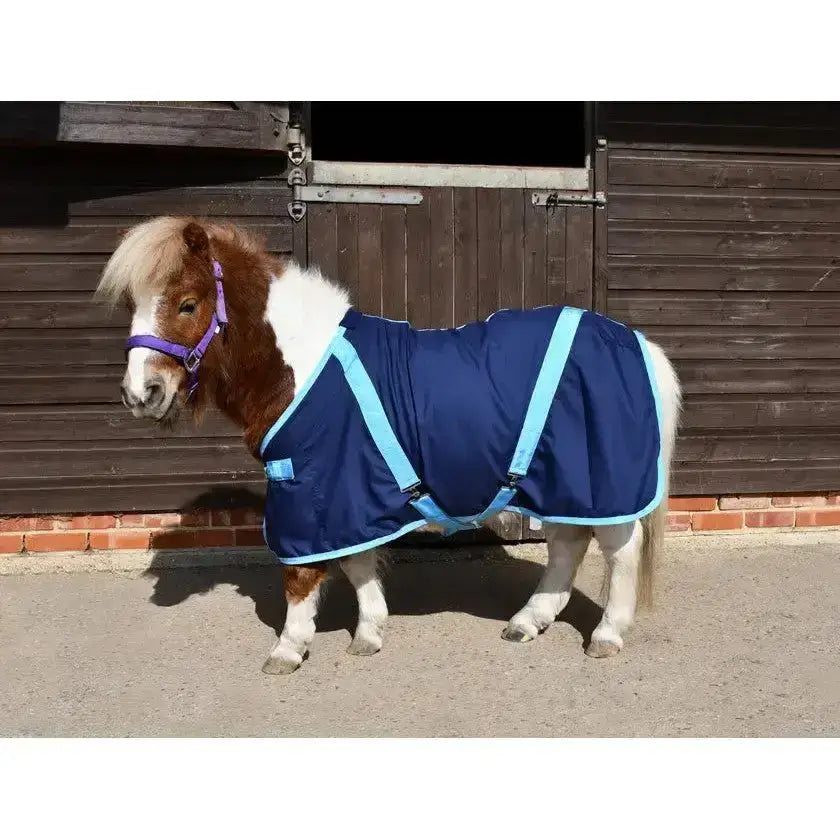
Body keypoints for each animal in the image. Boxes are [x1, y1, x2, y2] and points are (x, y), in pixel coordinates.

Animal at [97, 216, 681, 675]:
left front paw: (289, 647)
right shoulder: (345, 494)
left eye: (188, 304)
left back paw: (606, 635)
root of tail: (638, 344)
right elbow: (357, 563)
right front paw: (369, 633)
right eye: (132, 305)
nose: (141, 393)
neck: (302, 364)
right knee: (566, 546)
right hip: (563, 483)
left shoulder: (310, 489)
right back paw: (527, 621)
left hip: (602, 485)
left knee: (620, 552)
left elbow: (301, 574)